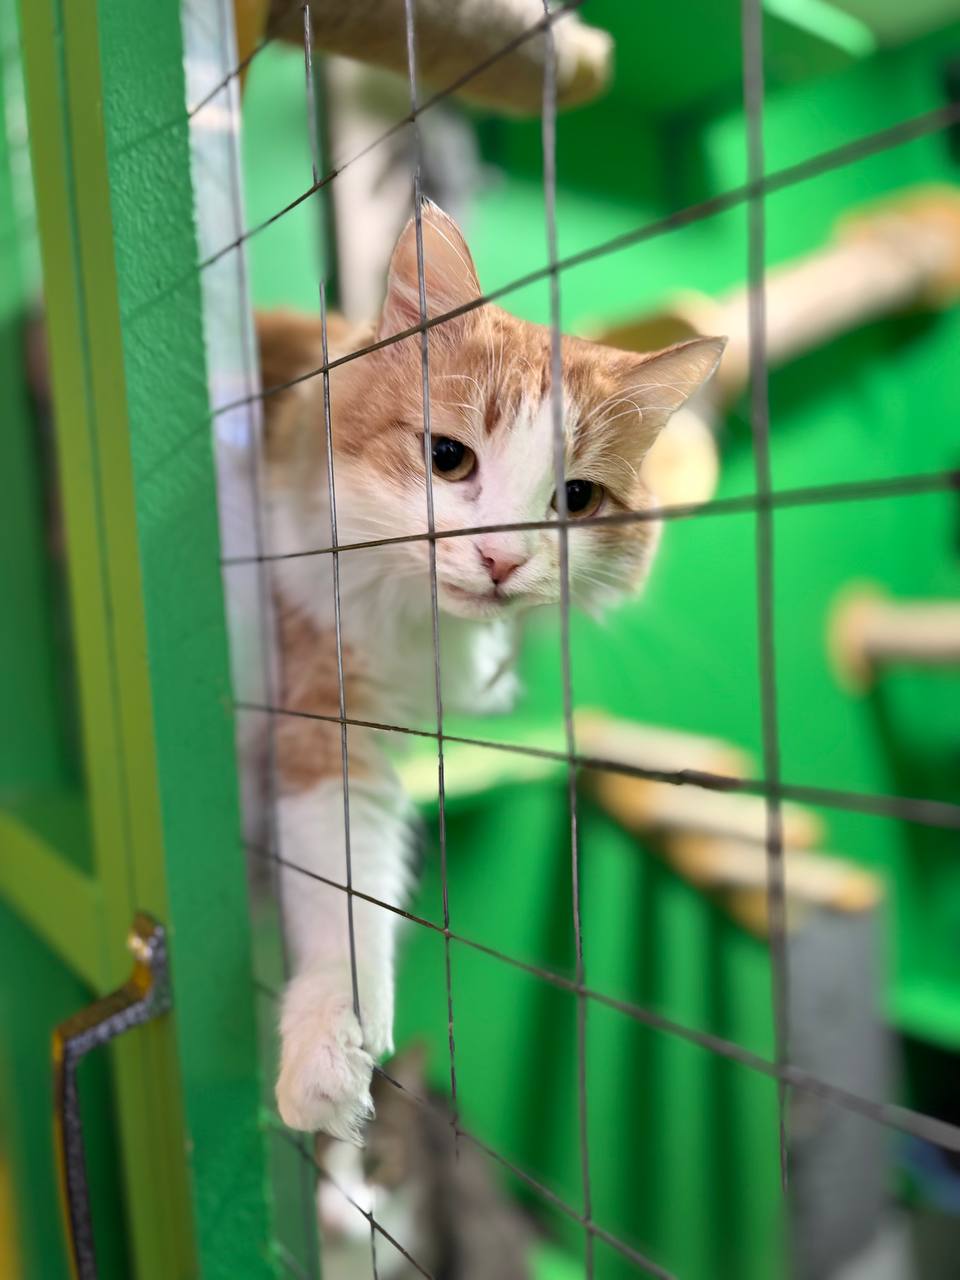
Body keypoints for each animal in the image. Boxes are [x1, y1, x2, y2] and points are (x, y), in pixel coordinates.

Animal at [254, 200, 724, 1141]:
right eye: (448, 457)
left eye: (576, 500)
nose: (502, 560)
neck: (419, 627)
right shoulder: (321, 695)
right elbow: (337, 876)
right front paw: (326, 1048)